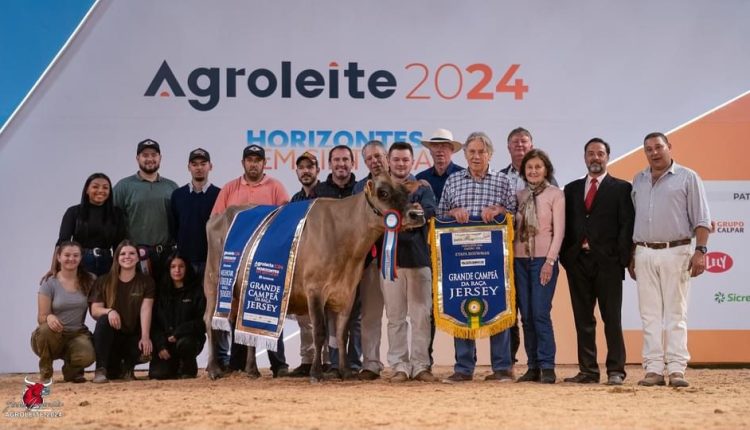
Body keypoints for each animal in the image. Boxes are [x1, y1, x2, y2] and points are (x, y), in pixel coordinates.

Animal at [206, 173, 426, 382]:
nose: (417, 214)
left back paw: (252, 370)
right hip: (214, 283)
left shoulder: (347, 292)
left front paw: (345, 372)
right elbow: (319, 332)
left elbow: (341, 334)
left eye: (407, 192)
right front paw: (316, 372)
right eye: (383, 193)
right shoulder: (315, 289)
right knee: (209, 322)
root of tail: (219, 215)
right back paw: (213, 369)